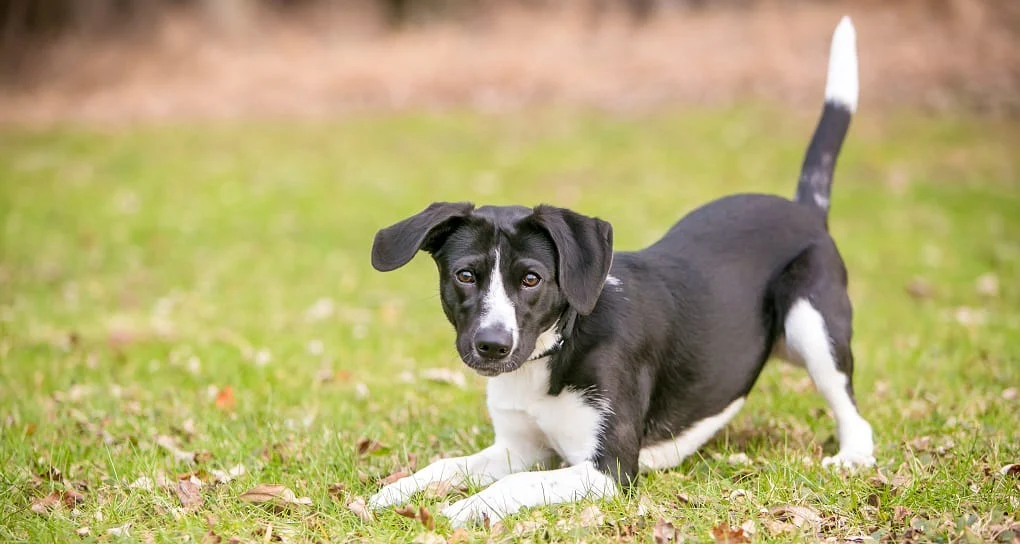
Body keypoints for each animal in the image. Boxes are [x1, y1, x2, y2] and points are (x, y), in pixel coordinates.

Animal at [367, 16, 877, 526]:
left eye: (531, 279)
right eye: (465, 275)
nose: (492, 346)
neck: (557, 348)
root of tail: (804, 208)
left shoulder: (608, 468)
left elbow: (516, 484)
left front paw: (463, 510)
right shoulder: (519, 448)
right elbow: (445, 464)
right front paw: (391, 494)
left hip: (813, 326)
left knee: (852, 409)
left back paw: (852, 456)